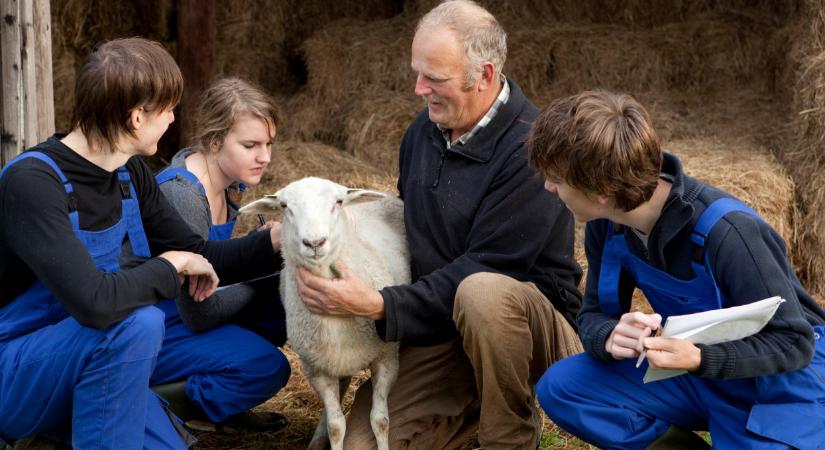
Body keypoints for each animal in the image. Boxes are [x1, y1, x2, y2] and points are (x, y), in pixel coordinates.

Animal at [238, 177, 408, 450]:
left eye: (338, 202)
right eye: (284, 206)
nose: (314, 243)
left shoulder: (387, 358)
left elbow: (380, 420)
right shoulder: (316, 369)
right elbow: (336, 426)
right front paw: (330, 434)